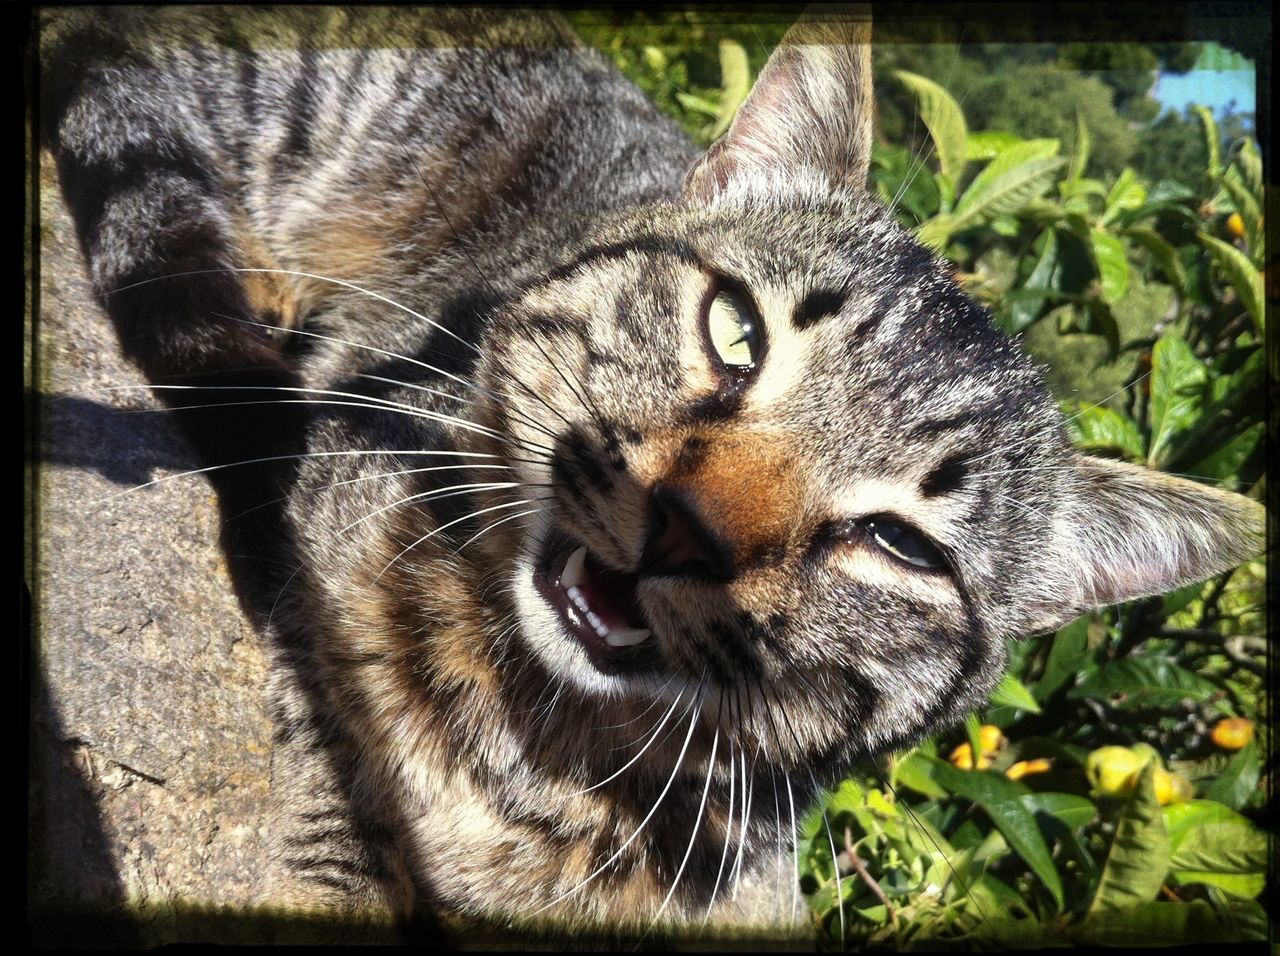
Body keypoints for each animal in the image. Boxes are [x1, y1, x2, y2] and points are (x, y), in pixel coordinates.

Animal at [40, 5, 1259, 952]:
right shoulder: (327, 529)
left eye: (901, 544)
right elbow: (342, 734)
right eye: (735, 330)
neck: (538, 735)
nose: (687, 526)